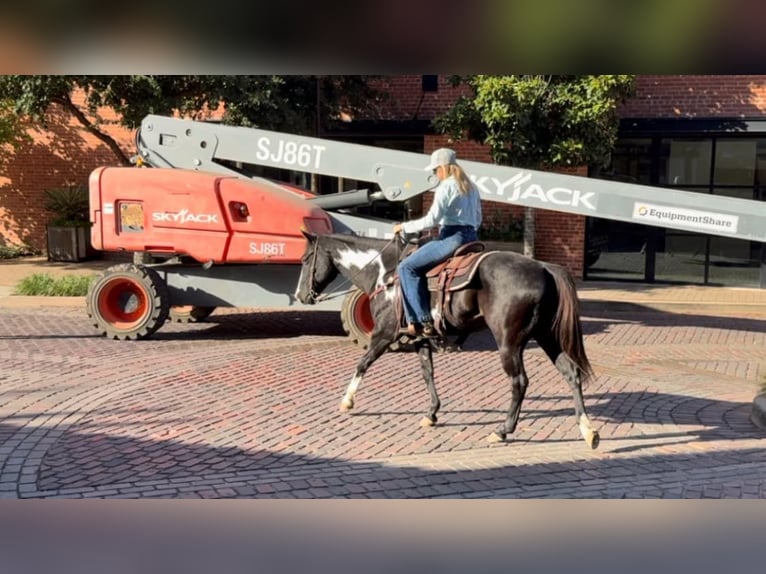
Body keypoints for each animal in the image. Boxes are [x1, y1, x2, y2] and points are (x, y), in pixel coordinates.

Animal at [294, 231, 600, 448]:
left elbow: (363, 363)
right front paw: (431, 413)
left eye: (306, 258)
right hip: (546, 336)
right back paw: (588, 430)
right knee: (571, 373)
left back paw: (502, 431)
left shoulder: (383, 333)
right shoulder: (420, 338)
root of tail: (544, 268)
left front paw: (347, 401)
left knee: (519, 382)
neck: (386, 273)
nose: (300, 296)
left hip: (509, 342)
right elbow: (427, 373)